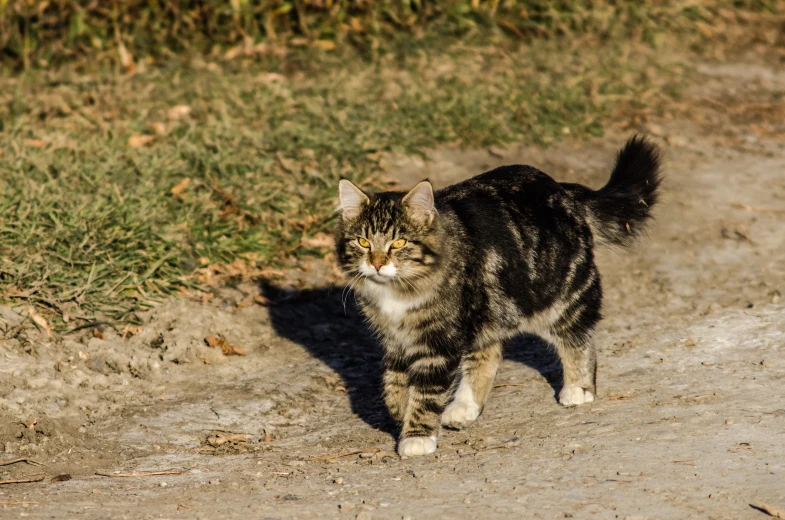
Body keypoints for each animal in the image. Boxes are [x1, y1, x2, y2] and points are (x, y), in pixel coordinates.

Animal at [332, 136, 660, 458]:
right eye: (363, 242)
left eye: (398, 242)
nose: (376, 263)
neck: (397, 292)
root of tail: (560, 188)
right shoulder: (395, 340)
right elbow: (393, 382)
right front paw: (400, 411)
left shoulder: (440, 343)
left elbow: (426, 391)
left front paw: (417, 436)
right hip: (490, 306)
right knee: (488, 353)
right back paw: (464, 408)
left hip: (563, 293)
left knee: (578, 336)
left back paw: (579, 388)